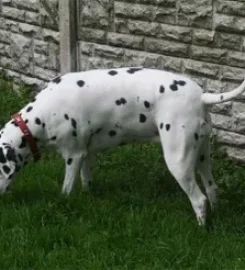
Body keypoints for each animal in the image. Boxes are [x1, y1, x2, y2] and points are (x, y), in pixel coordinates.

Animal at [0, 67, 245, 226]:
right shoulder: (85, 154)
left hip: (179, 162)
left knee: (199, 200)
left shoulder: (72, 155)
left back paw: (201, 229)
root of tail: (202, 96)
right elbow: (87, 182)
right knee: (212, 189)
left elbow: (66, 190)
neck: (38, 118)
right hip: (202, 157)